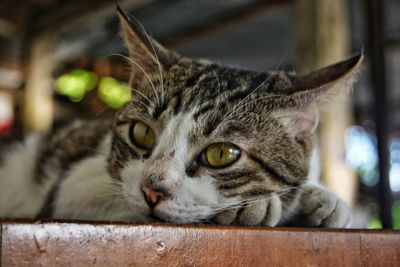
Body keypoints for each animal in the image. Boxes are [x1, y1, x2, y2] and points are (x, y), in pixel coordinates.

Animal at [0, 6, 362, 228]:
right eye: (142, 133)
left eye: (222, 154)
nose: (152, 191)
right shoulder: (71, 186)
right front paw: (251, 206)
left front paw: (323, 199)